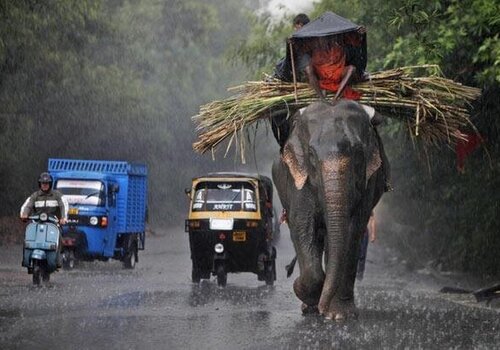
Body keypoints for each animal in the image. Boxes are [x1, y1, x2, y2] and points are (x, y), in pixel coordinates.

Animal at [272, 100, 384, 322]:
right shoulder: (300, 180)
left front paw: (339, 315)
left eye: (359, 154)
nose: (322, 308)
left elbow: (354, 229)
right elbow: (302, 225)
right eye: (312, 155)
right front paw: (305, 294)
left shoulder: (369, 180)